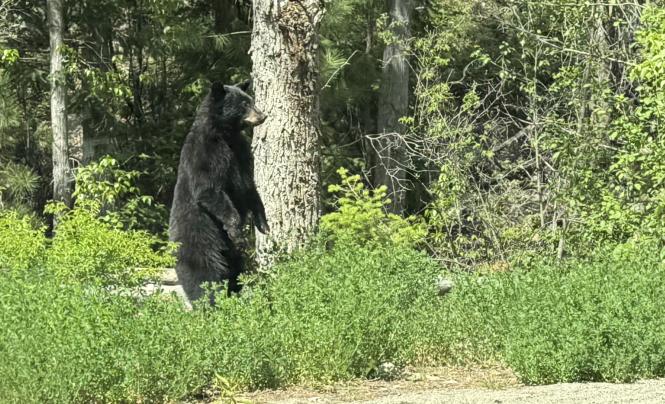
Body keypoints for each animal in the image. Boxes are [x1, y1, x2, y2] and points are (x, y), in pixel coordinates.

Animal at [168, 80, 269, 304]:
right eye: (244, 104)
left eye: (251, 100)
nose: (262, 115)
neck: (225, 134)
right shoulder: (205, 154)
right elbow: (209, 190)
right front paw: (236, 230)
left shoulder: (241, 153)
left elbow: (249, 188)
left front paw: (263, 225)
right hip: (202, 244)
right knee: (205, 278)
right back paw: (212, 304)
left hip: (231, 257)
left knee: (234, 273)